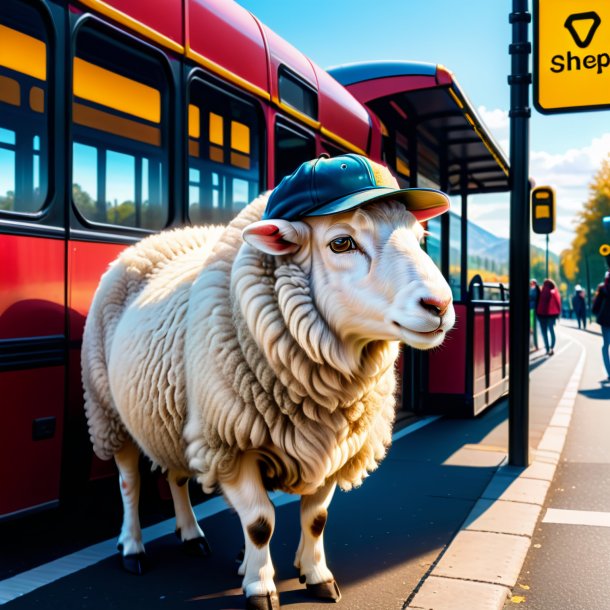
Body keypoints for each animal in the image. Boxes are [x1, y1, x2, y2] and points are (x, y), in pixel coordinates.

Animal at [82, 153, 452, 608]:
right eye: (341, 243)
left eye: (419, 238)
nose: (440, 305)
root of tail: (152, 242)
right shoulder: (231, 444)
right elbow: (260, 521)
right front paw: (260, 586)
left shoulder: (334, 448)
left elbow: (316, 518)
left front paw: (315, 576)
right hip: (108, 411)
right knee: (129, 481)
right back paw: (133, 547)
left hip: (169, 416)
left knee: (176, 475)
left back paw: (191, 535)